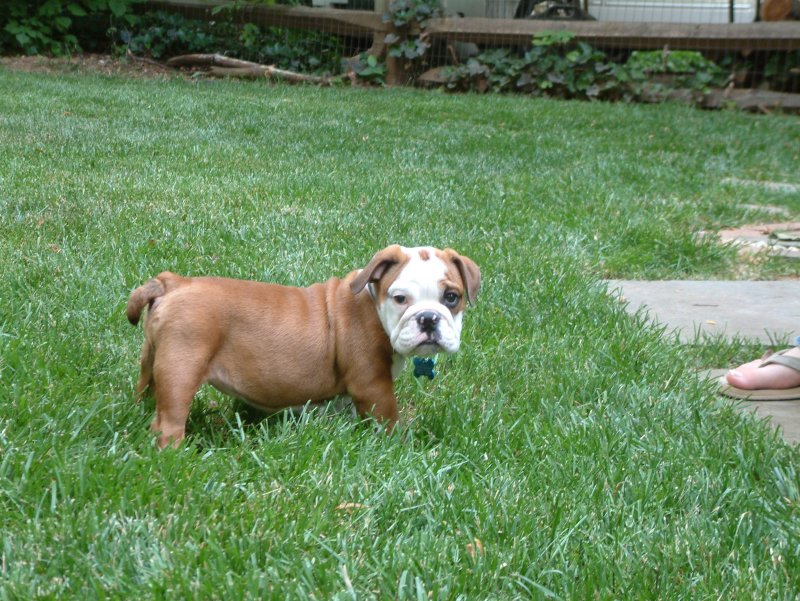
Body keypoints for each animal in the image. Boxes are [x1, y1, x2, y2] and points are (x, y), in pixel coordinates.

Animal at [127, 244, 478, 446]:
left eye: (452, 297)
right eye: (400, 298)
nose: (428, 319)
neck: (371, 302)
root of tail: (174, 282)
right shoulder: (373, 384)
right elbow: (388, 419)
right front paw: (401, 446)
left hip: (152, 361)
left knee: (146, 390)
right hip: (182, 367)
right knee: (168, 422)